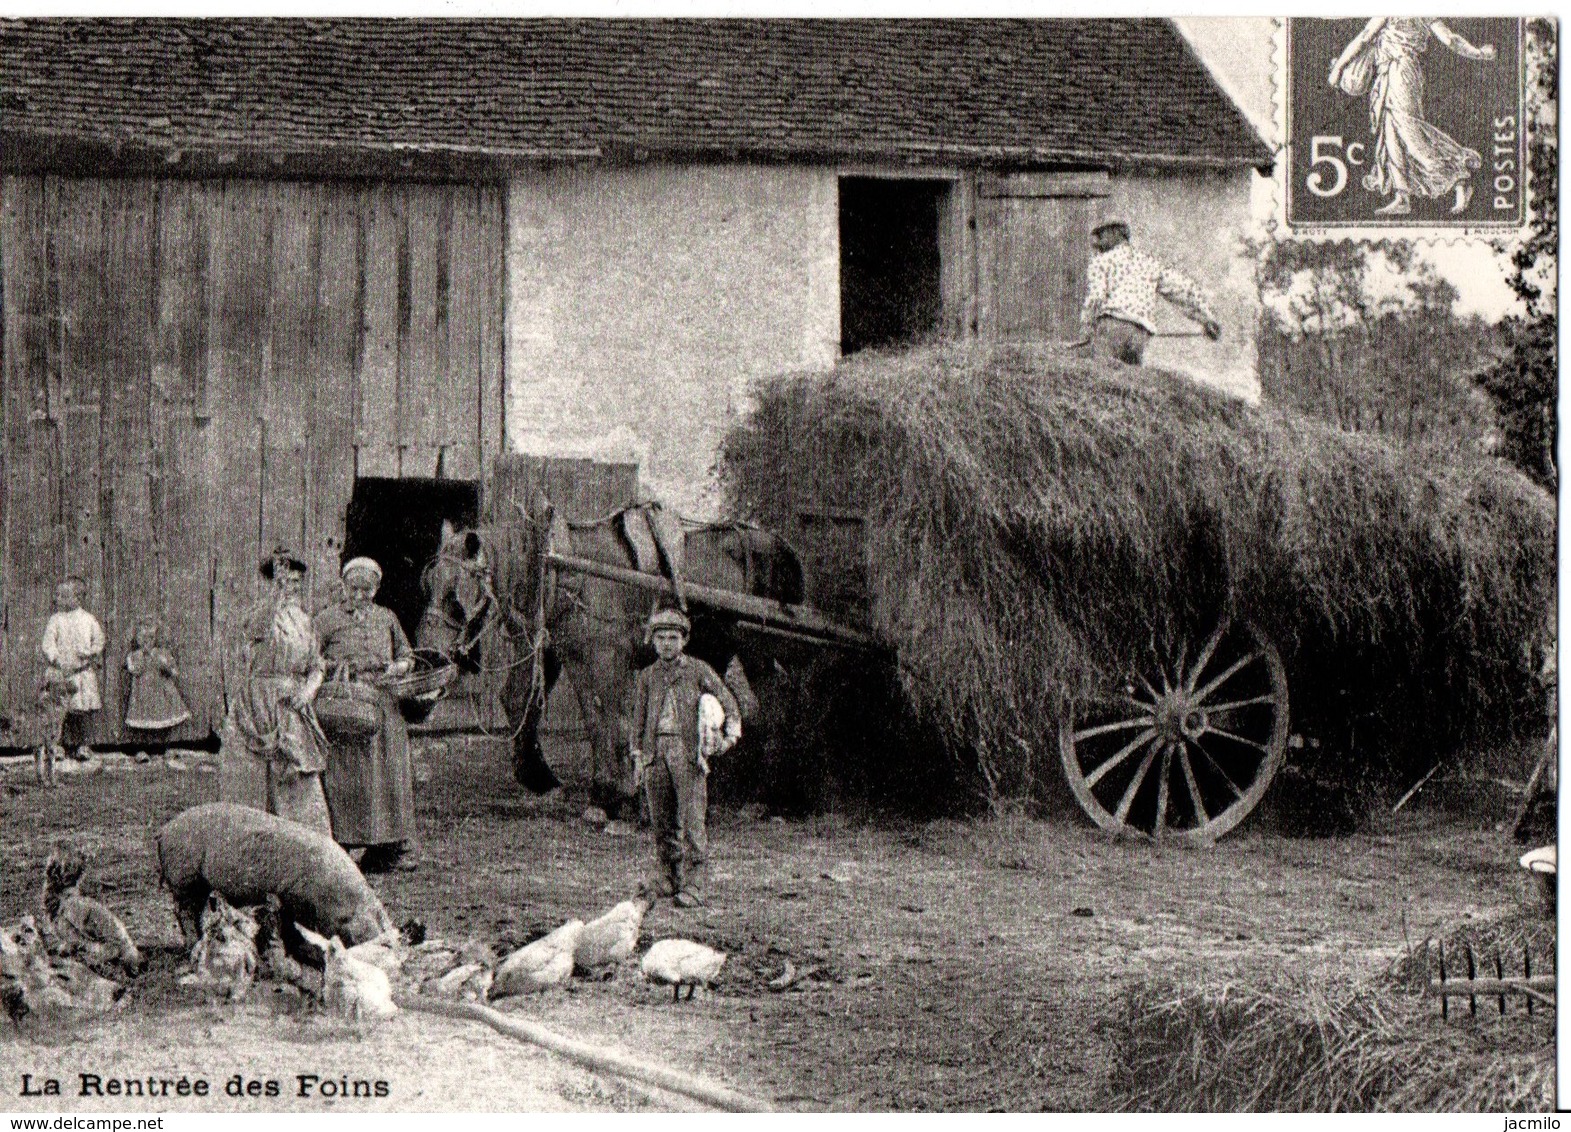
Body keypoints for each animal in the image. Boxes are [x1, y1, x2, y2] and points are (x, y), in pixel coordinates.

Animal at [414, 496, 804, 810]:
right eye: (428, 584)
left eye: (456, 597)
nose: (428, 657)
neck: (563, 567)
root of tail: (780, 544)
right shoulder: (577, 657)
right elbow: (592, 719)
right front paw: (601, 794)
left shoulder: (608, 658)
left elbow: (613, 718)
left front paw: (620, 797)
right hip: (719, 646)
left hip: (756, 647)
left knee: (775, 699)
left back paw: (768, 796)